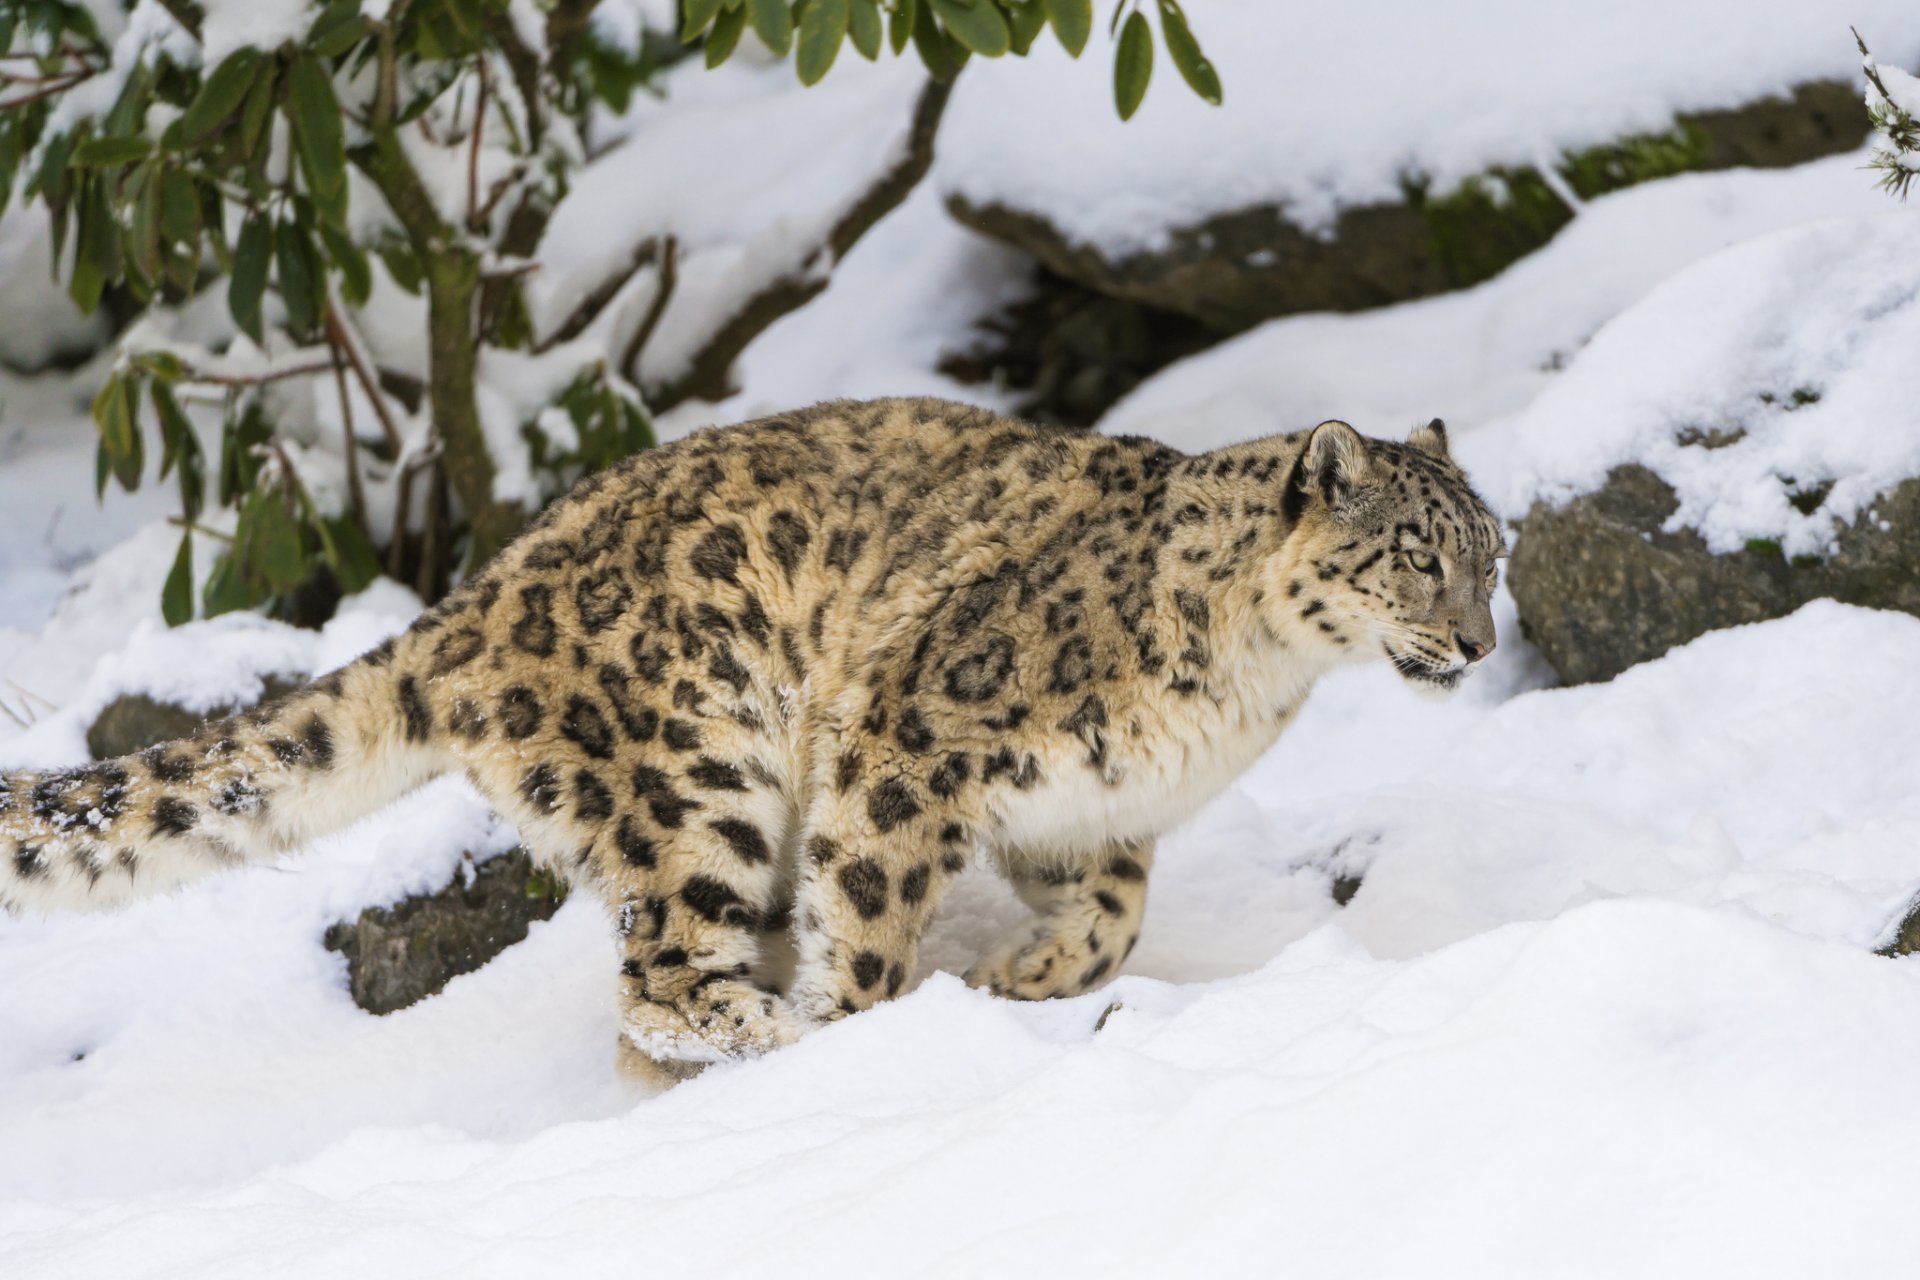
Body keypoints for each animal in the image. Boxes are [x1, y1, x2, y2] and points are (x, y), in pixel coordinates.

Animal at [0, 397, 1504, 1081]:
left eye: (1492, 553)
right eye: (1418, 557)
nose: (1486, 642)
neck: (1251, 687)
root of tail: (480, 595)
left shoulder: (1089, 806)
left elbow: (1116, 912)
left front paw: (1029, 978)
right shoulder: (912, 734)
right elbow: (878, 913)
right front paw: (877, 1032)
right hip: (698, 771)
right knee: (660, 975)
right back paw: (774, 1035)